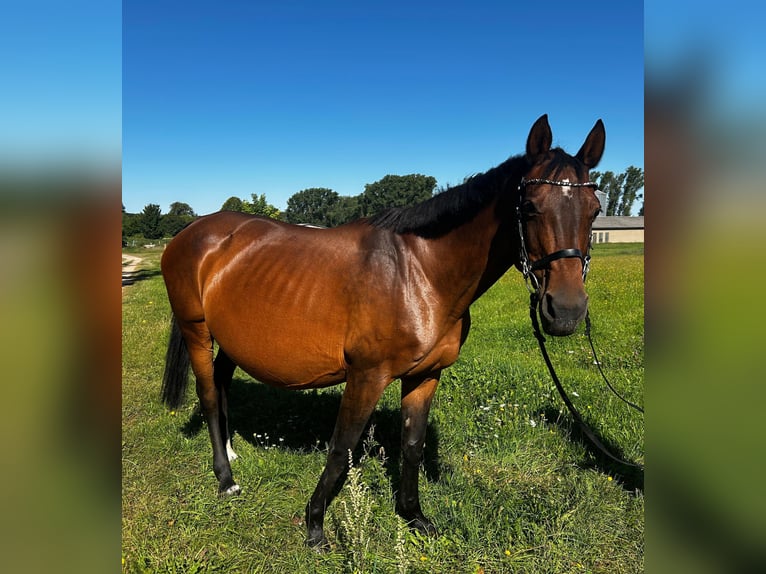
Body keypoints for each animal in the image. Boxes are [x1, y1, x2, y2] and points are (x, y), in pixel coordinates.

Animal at [160, 114, 605, 548]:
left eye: (595, 209)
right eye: (528, 206)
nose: (566, 310)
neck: (419, 274)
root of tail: (190, 232)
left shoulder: (426, 375)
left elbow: (411, 445)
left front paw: (414, 516)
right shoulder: (366, 376)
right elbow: (341, 447)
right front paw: (315, 526)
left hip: (232, 339)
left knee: (222, 382)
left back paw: (232, 453)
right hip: (196, 330)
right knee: (208, 394)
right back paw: (225, 479)